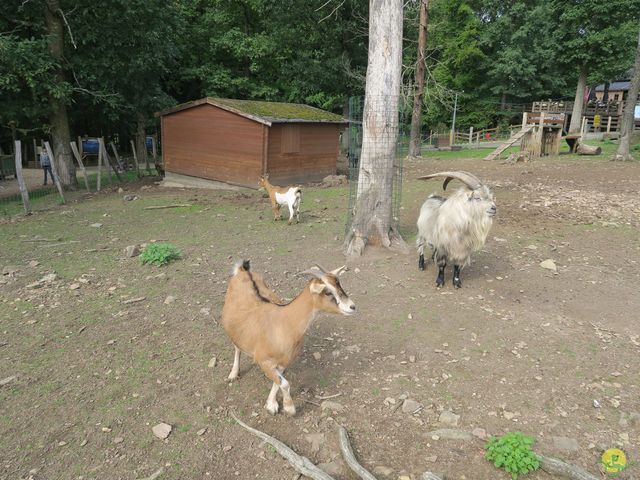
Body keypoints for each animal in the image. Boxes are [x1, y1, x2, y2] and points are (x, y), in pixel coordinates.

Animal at [222, 260, 358, 414]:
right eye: (328, 292)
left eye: (339, 284)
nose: (352, 307)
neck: (284, 323)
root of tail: (244, 270)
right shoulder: (263, 361)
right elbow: (285, 384)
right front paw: (289, 408)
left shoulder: (284, 362)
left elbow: (278, 382)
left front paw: (271, 404)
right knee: (237, 347)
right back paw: (233, 374)